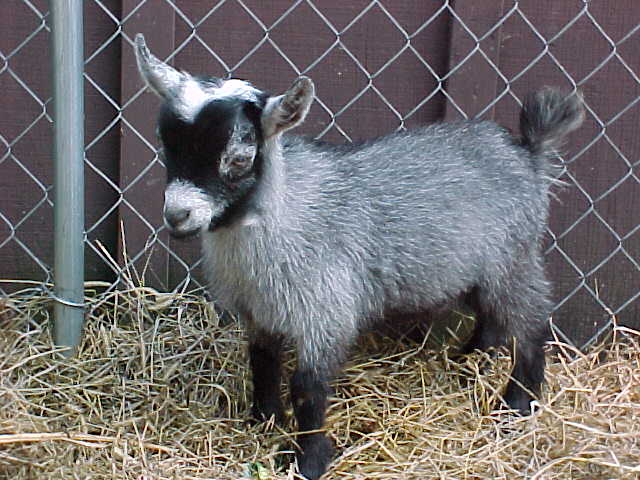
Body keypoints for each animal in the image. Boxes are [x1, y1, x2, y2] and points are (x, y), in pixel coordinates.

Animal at [134, 33, 583, 480]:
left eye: (239, 158)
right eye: (165, 144)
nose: (177, 215)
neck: (284, 213)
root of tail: (528, 153)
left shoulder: (325, 312)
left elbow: (308, 387)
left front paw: (308, 460)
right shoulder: (259, 310)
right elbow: (262, 360)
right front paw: (264, 419)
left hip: (513, 258)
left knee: (531, 323)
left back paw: (519, 402)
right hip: (479, 268)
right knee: (492, 317)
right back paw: (467, 363)